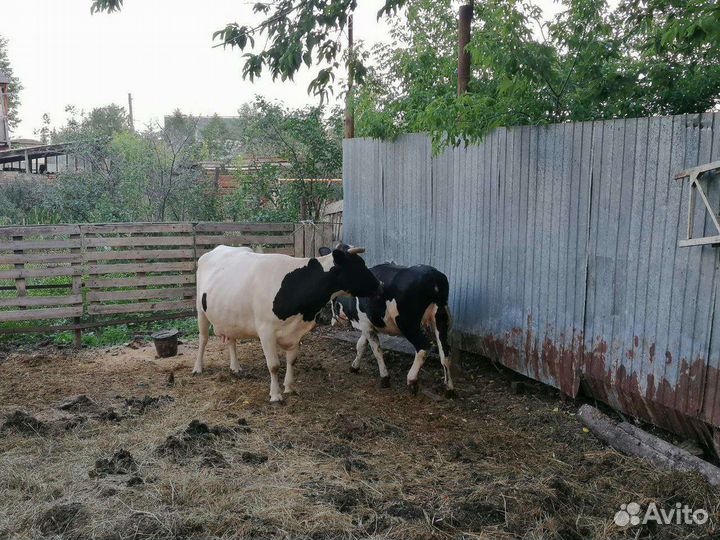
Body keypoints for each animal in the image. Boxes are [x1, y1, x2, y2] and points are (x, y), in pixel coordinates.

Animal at [194, 244, 381, 403]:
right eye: (358, 265)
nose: (380, 285)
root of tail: (217, 249)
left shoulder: (296, 332)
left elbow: (292, 360)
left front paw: (289, 387)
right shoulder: (266, 331)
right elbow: (274, 365)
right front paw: (275, 395)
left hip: (229, 316)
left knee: (231, 340)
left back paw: (235, 367)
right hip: (200, 310)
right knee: (203, 339)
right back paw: (198, 368)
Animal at [327, 260, 455, 397]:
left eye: (332, 303)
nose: (332, 322)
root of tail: (433, 275)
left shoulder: (366, 324)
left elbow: (376, 350)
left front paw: (385, 378)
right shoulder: (368, 325)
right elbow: (360, 345)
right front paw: (354, 367)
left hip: (408, 323)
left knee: (423, 347)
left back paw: (412, 380)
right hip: (440, 320)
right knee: (445, 352)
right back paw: (449, 388)